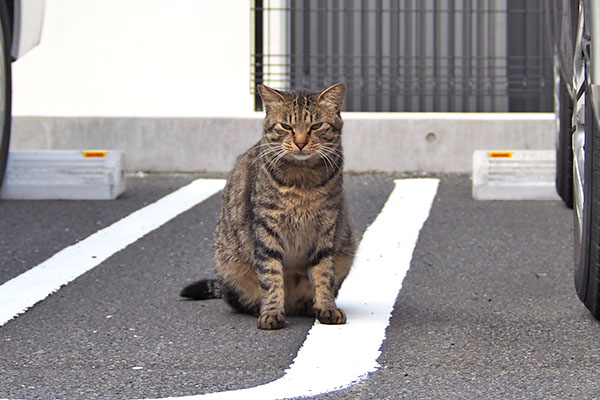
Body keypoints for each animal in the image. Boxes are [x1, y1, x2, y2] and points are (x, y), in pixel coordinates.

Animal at [179, 83, 356, 330]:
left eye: (316, 126)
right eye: (286, 126)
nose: (301, 142)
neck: (302, 181)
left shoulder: (326, 229)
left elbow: (323, 275)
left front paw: (326, 308)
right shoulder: (265, 228)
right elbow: (271, 275)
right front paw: (271, 312)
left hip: (347, 247)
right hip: (229, 265)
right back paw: (261, 308)